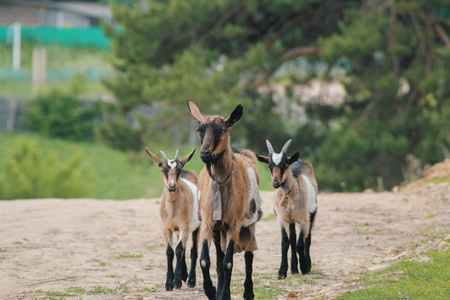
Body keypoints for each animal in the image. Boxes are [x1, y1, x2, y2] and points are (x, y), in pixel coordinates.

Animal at [145, 148, 200, 290]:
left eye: (179, 170)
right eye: (163, 169)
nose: (172, 186)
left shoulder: (184, 226)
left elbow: (179, 250)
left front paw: (176, 282)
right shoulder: (166, 228)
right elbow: (170, 251)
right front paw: (169, 283)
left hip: (198, 226)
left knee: (193, 250)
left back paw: (191, 280)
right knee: (184, 248)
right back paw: (184, 275)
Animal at [187, 99, 264, 300]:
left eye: (223, 129)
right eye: (199, 130)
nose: (205, 153)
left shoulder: (235, 223)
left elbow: (228, 263)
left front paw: (223, 294)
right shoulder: (208, 221)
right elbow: (206, 261)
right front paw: (212, 291)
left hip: (249, 221)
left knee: (248, 255)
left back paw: (248, 292)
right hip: (218, 228)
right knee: (219, 256)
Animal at [258, 140, 318, 278]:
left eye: (285, 165)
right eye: (269, 166)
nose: (275, 183)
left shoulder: (303, 219)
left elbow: (300, 244)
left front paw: (304, 267)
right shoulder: (282, 219)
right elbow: (285, 243)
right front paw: (282, 272)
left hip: (312, 212)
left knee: (308, 238)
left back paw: (307, 265)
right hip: (291, 220)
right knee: (293, 238)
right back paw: (294, 268)